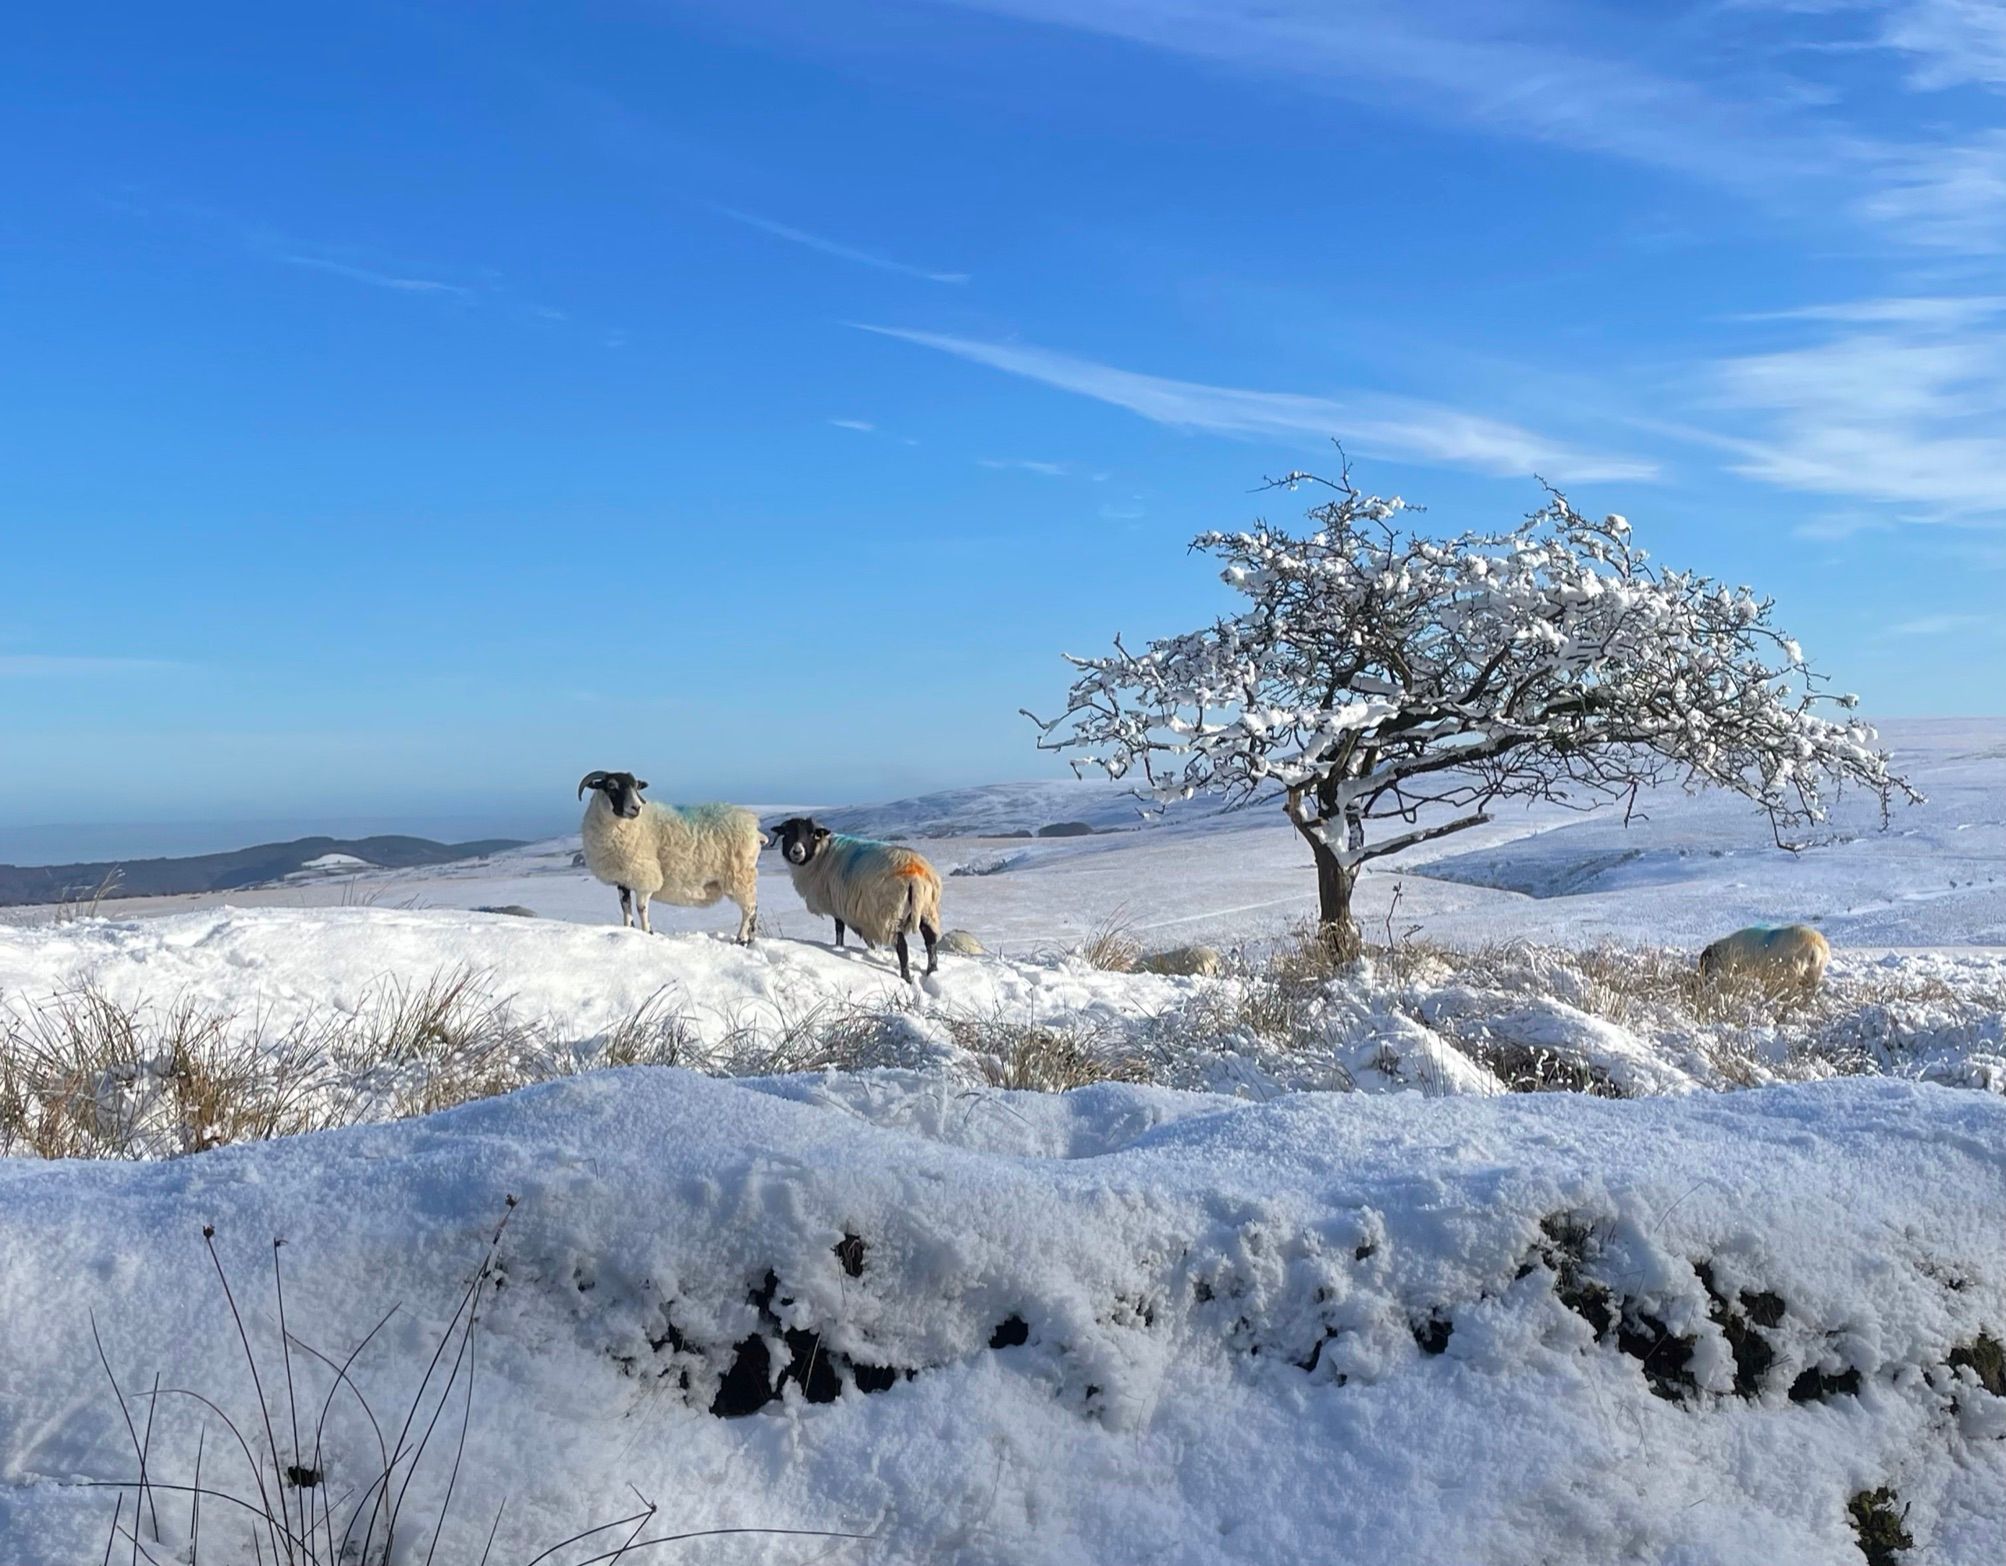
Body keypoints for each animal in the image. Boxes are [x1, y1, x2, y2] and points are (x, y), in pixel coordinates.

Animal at [585, 773, 766, 942]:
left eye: (636, 787)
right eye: (611, 786)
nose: (636, 807)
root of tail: (755, 830)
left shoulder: (646, 876)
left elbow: (641, 908)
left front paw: (648, 933)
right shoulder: (623, 879)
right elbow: (626, 907)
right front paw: (628, 930)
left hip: (740, 875)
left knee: (749, 909)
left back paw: (741, 940)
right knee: (754, 909)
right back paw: (751, 939)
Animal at [766, 818, 946, 978]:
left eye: (811, 834)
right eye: (787, 833)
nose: (797, 852)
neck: (821, 855)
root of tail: (915, 876)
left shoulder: (838, 905)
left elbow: (839, 930)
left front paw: (839, 947)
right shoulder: (861, 916)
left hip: (889, 915)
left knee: (902, 947)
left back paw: (906, 977)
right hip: (927, 911)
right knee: (930, 942)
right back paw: (932, 971)